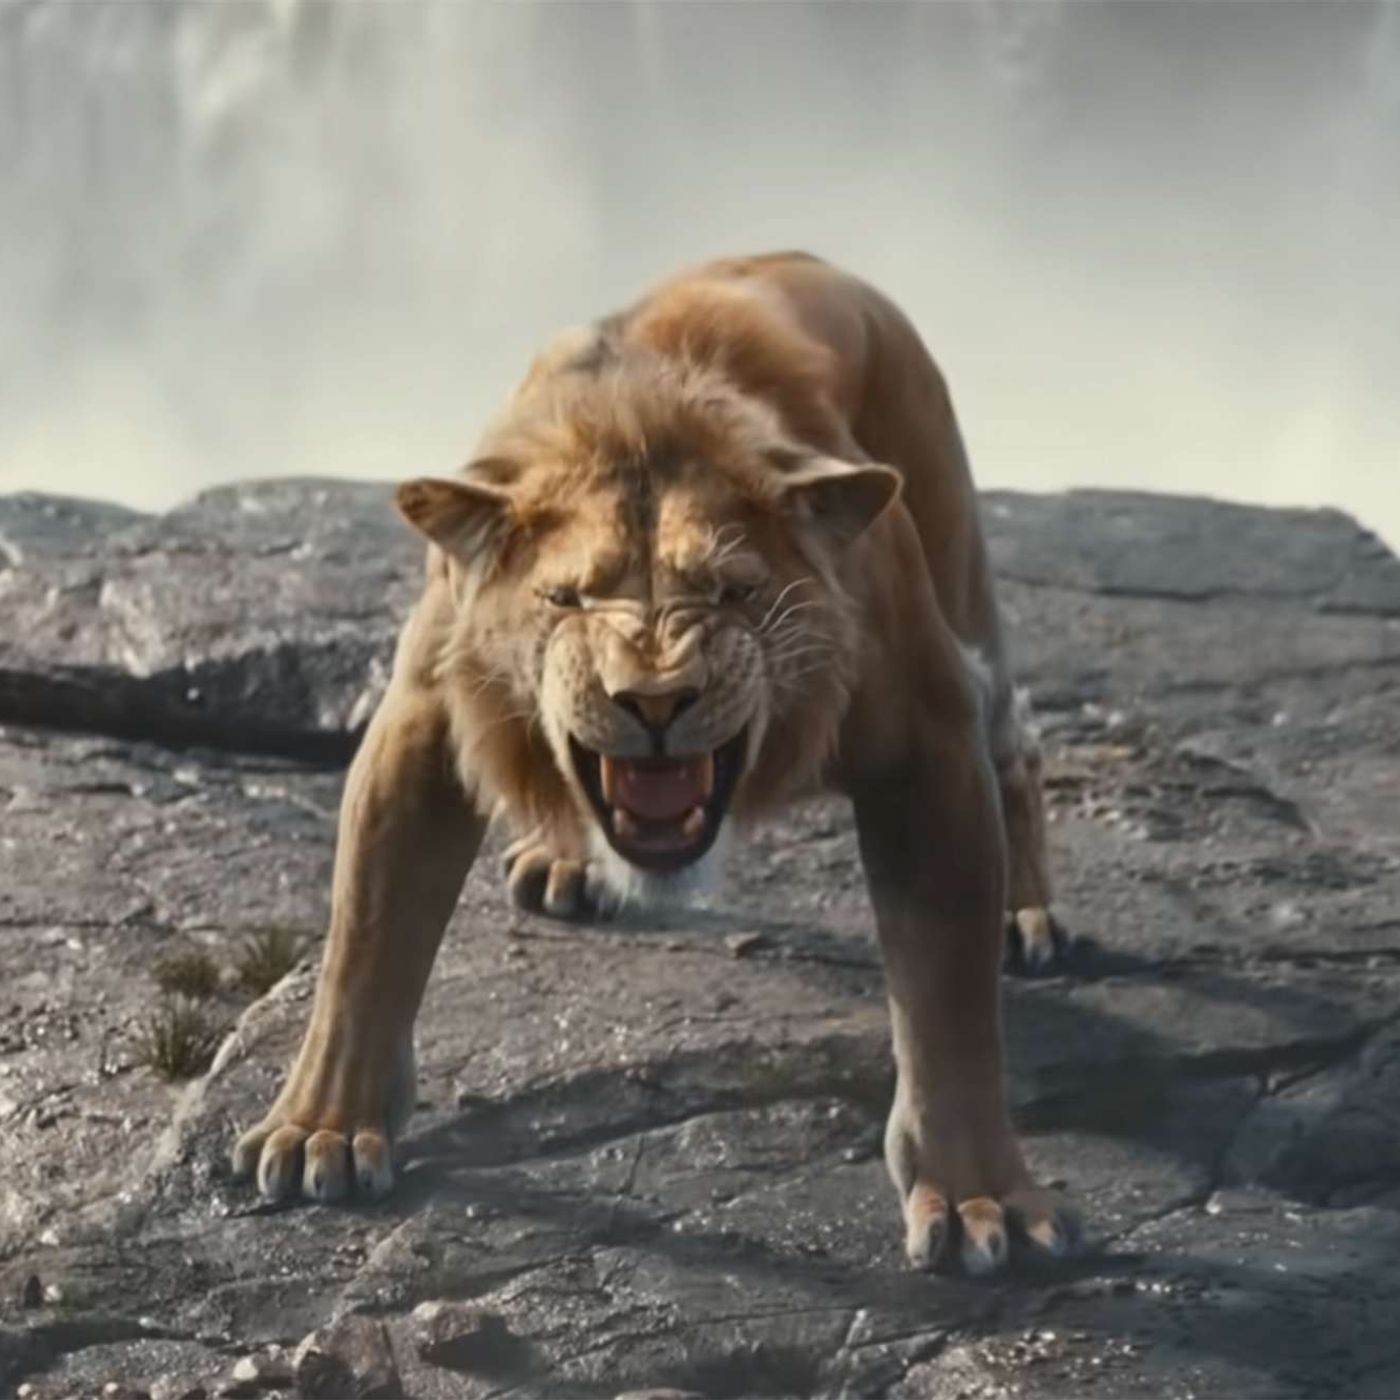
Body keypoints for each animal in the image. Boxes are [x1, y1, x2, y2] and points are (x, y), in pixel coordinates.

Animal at [232, 252, 1078, 1274]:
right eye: (566, 598)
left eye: (732, 592)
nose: (655, 699)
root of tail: (816, 261)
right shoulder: (427, 717)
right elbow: (365, 941)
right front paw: (319, 1127)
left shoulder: (926, 736)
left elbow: (950, 1002)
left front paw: (978, 1194)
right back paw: (562, 865)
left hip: (955, 559)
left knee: (1016, 741)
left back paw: (1025, 916)